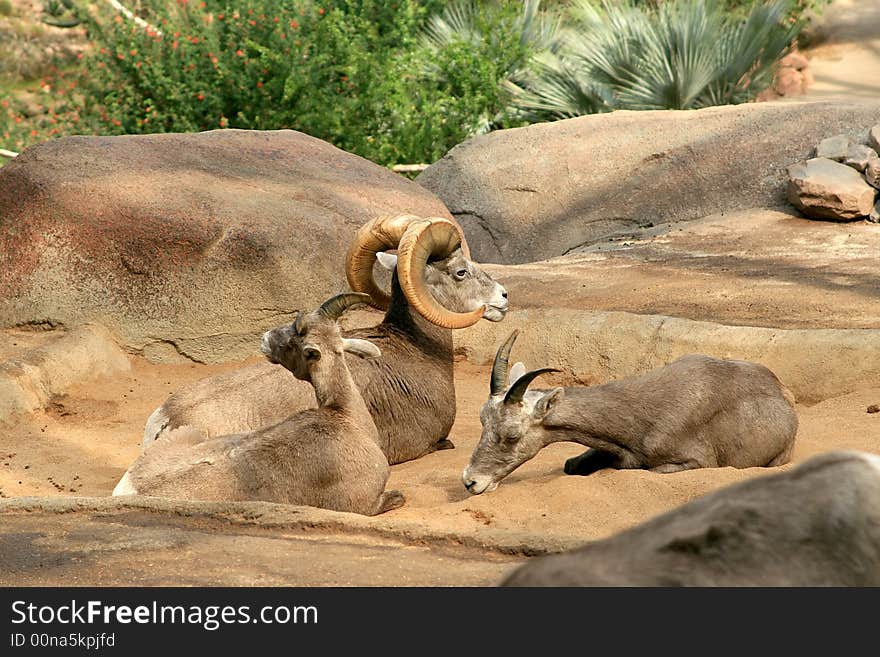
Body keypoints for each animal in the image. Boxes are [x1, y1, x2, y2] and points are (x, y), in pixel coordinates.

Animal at [464, 330, 800, 494]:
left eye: (512, 435)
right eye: (482, 421)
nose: (471, 482)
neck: (639, 417)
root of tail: (784, 393)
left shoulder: (694, 461)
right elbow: (572, 465)